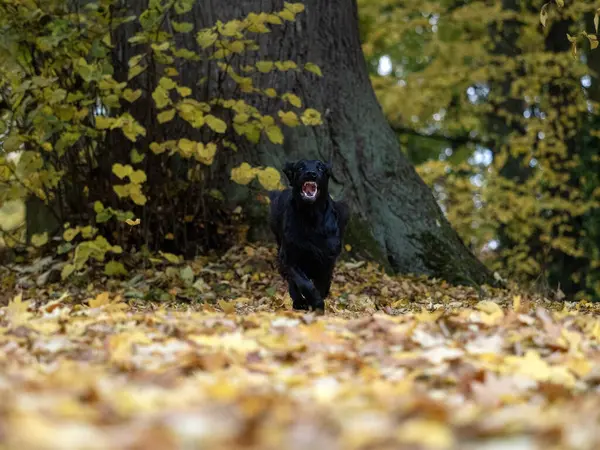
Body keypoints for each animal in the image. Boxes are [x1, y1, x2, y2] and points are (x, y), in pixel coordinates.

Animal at [270, 159, 350, 312]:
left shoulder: (327, 258)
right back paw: (299, 302)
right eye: (300, 167)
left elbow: (322, 283)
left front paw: (319, 303)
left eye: (320, 168)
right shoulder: (289, 257)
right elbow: (304, 284)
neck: (310, 216)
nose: (311, 173)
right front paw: (316, 303)